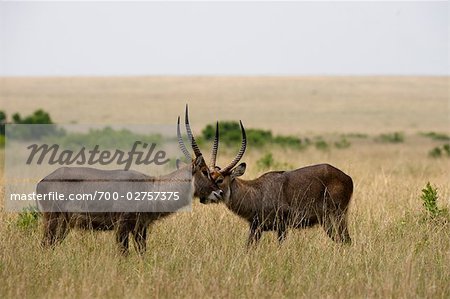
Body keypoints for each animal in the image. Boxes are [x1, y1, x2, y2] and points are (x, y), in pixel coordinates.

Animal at [37, 108, 221, 255]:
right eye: (205, 171)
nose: (218, 192)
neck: (152, 187)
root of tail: (42, 181)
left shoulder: (140, 228)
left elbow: (142, 252)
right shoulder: (122, 227)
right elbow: (123, 253)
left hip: (63, 225)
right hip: (54, 220)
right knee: (45, 245)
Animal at [202, 122, 354, 248]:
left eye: (220, 179)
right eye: (208, 176)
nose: (204, 197)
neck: (257, 192)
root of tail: (348, 178)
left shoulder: (282, 226)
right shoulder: (255, 228)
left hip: (338, 216)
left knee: (346, 240)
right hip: (327, 221)